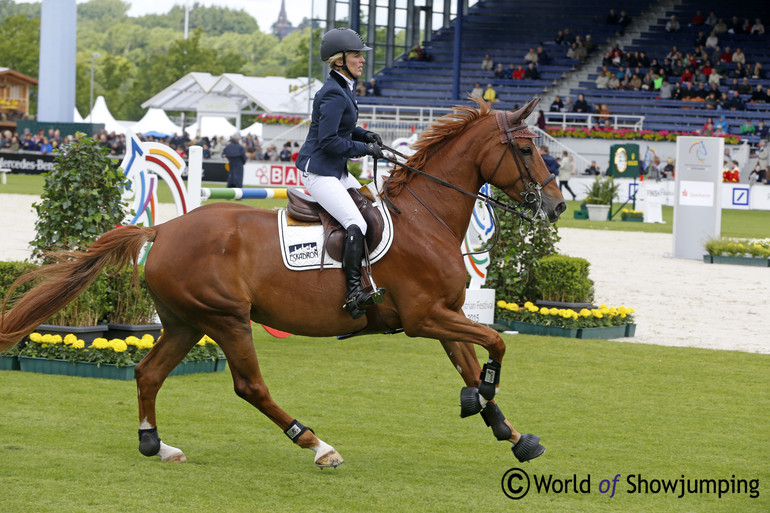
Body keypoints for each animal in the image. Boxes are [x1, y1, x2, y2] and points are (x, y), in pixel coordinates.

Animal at [0, 97, 564, 468]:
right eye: (527, 149)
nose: (557, 206)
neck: (428, 218)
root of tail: (163, 229)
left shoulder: (444, 315)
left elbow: (471, 359)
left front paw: (511, 433)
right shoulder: (425, 317)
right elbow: (494, 345)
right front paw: (482, 399)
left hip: (186, 322)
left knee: (147, 373)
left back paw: (155, 444)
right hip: (227, 318)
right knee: (249, 386)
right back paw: (316, 444)